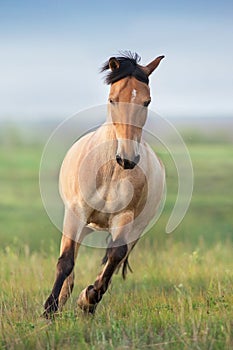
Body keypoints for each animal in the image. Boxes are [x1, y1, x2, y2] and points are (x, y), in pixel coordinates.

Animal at [43, 52, 164, 318]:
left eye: (147, 102)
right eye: (112, 100)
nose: (127, 159)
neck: (110, 172)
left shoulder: (125, 218)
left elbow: (115, 256)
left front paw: (87, 299)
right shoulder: (76, 213)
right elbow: (65, 261)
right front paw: (49, 310)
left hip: (134, 229)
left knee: (114, 259)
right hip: (81, 224)